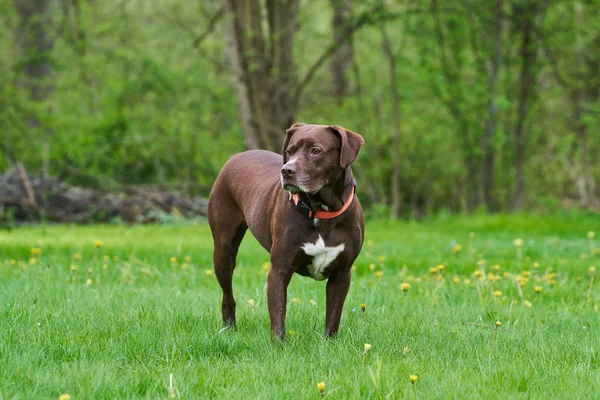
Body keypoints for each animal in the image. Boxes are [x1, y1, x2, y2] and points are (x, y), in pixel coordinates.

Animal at [206, 123, 366, 340]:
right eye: (290, 151)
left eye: (316, 150)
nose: (286, 170)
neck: (321, 211)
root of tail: (235, 157)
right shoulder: (279, 269)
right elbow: (278, 313)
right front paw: (278, 344)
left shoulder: (342, 273)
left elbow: (333, 316)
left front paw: (328, 342)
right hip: (224, 250)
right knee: (227, 294)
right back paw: (229, 329)